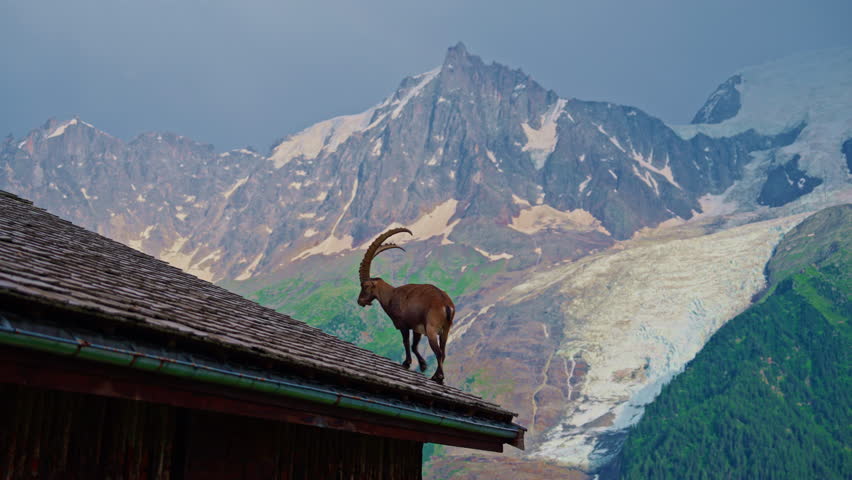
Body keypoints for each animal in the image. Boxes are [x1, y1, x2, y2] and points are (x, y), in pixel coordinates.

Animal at [357, 228, 455, 384]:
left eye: (365, 286)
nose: (359, 301)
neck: (392, 295)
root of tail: (446, 304)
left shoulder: (404, 325)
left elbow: (406, 342)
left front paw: (407, 363)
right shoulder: (417, 328)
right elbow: (414, 346)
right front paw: (423, 365)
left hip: (432, 329)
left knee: (439, 352)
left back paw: (438, 377)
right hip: (445, 330)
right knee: (443, 352)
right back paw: (437, 376)